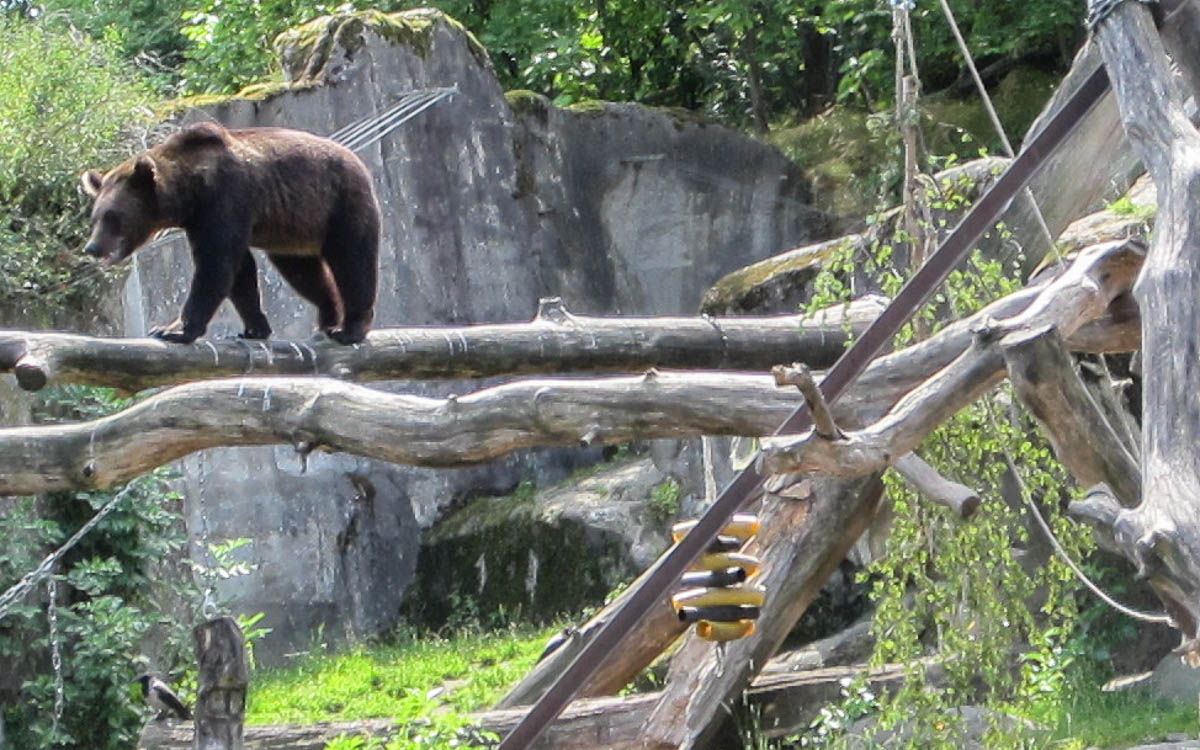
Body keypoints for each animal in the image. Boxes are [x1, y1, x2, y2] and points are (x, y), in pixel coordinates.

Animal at [81, 121, 381, 345]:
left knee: (353, 261)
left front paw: (173, 329)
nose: (92, 247)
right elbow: (240, 271)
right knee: (303, 272)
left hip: (339, 203)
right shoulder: (202, 219)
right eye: (94, 217)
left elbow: (216, 265)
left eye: (113, 217)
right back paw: (328, 318)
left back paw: (349, 328)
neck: (189, 192)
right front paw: (254, 328)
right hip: (294, 228)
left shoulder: (225, 199)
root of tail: (357, 161)